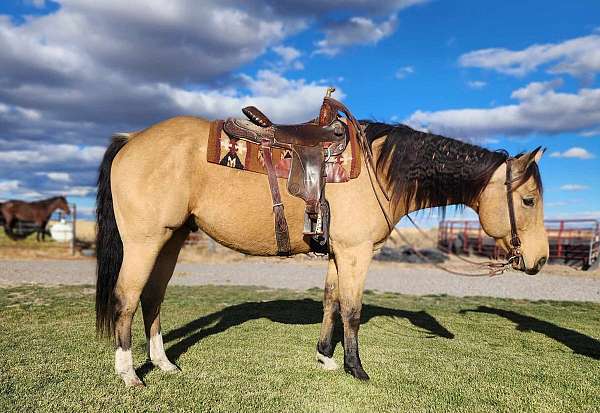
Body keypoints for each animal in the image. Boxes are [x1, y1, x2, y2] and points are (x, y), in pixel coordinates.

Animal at [95, 96, 548, 386]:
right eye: (528, 200)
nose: (540, 260)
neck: (379, 172)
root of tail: (131, 139)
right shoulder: (356, 253)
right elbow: (352, 308)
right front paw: (356, 369)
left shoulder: (336, 253)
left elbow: (330, 301)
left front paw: (325, 358)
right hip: (144, 241)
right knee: (126, 297)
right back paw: (129, 374)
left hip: (170, 240)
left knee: (152, 298)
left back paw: (164, 364)